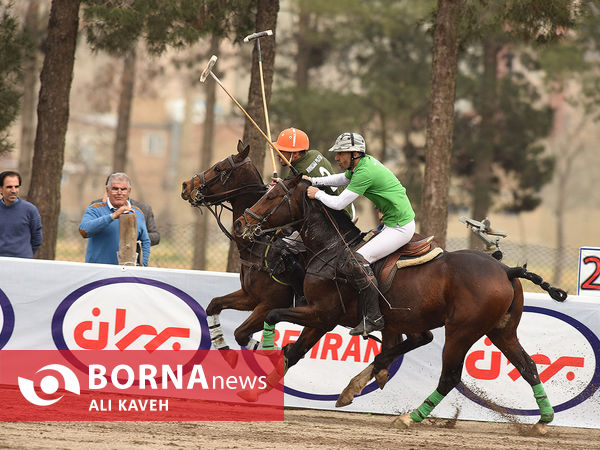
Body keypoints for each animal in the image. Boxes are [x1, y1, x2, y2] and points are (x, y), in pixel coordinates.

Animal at [233, 175, 568, 432]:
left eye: (272, 196)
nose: (240, 223)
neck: (331, 248)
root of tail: (507, 270)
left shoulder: (322, 313)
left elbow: (275, 317)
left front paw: (264, 355)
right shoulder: (325, 318)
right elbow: (296, 351)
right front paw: (258, 391)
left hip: (461, 331)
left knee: (450, 376)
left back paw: (411, 417)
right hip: (501, 330)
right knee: (528, 366)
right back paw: (543, 420)